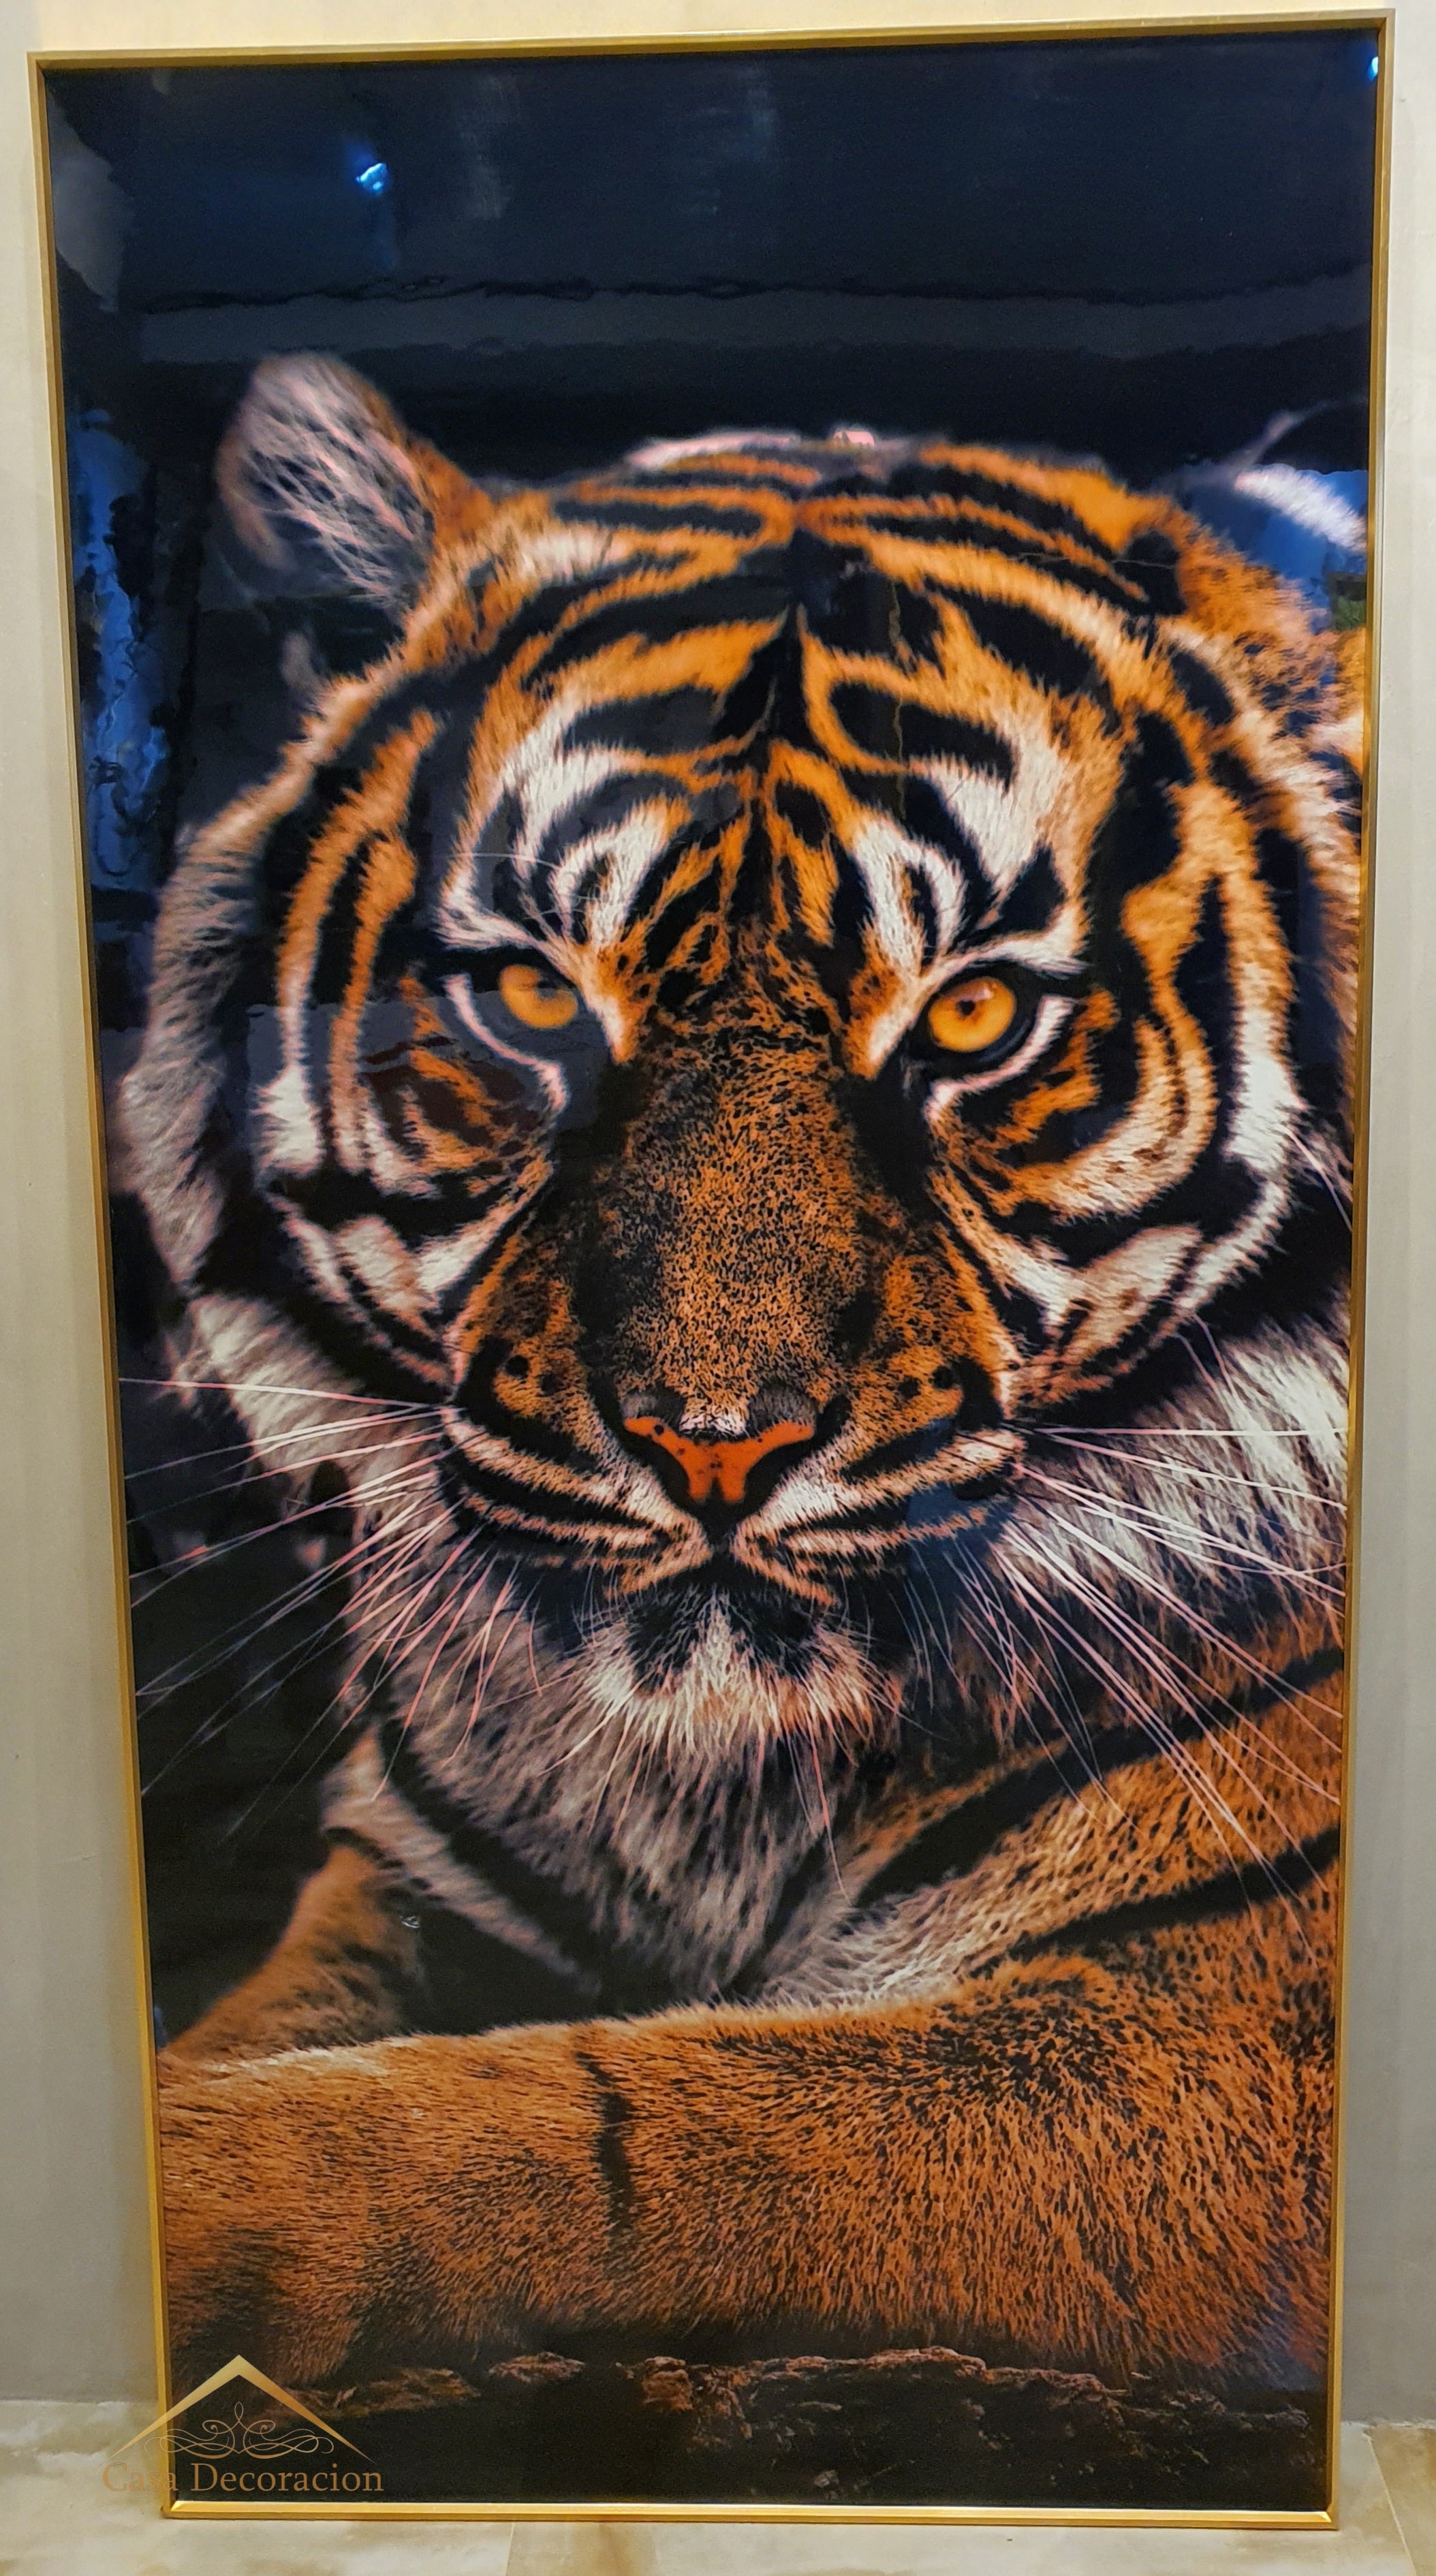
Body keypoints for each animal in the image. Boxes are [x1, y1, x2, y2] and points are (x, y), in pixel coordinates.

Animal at [125, 355, 1361, 2434]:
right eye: (534, 1000)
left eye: (972, 1013)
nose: (717, 1446)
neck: (713, 1781)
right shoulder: (413, 1893)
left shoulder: (1233, 2036)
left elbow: (601, 2120)